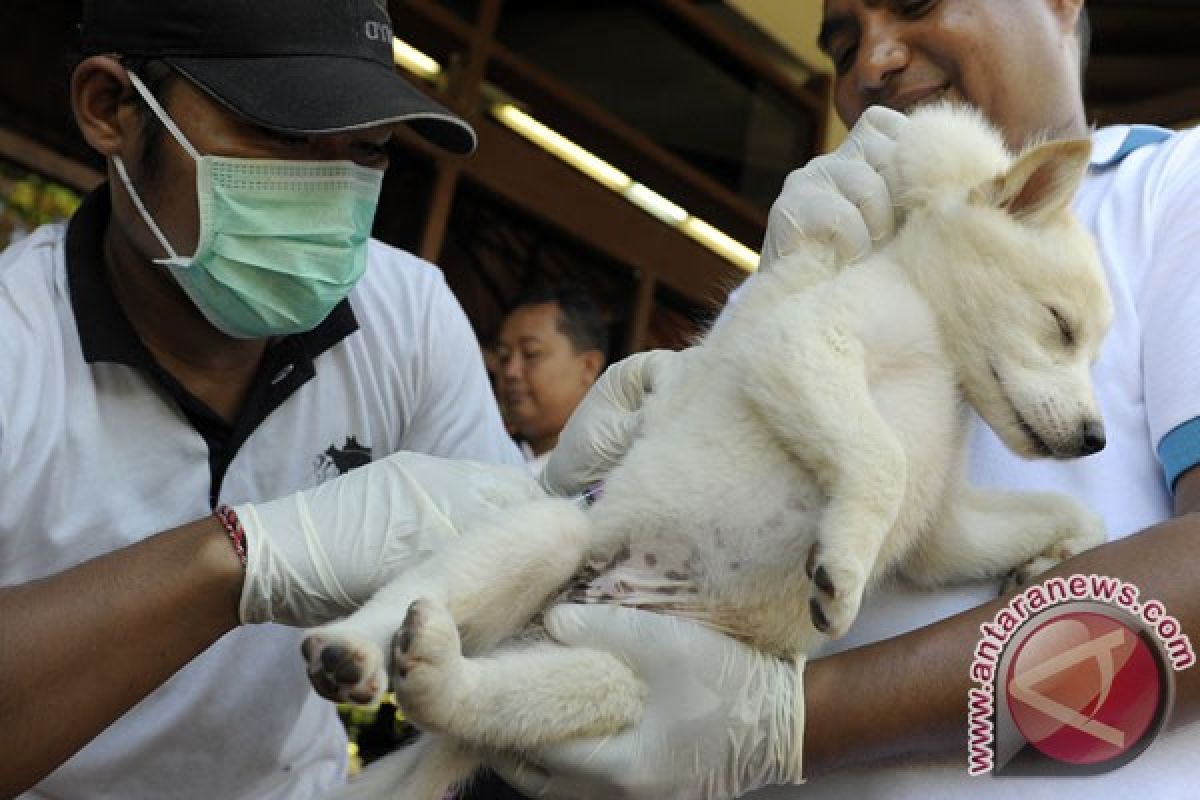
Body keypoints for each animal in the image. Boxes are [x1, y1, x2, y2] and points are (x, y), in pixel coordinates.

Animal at [307, 106, 1104, 800]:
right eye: (1060, 326)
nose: (1095, 438)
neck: (941, 356)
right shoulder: (802, 345)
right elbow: (882, 461)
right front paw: (844, 571)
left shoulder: (939, 530)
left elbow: (1053, 511)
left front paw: (1058, 557)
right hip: (555, 534)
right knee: (408, 601)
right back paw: (349, 650)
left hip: (618, 679)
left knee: (478, 704)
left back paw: (436, 675)